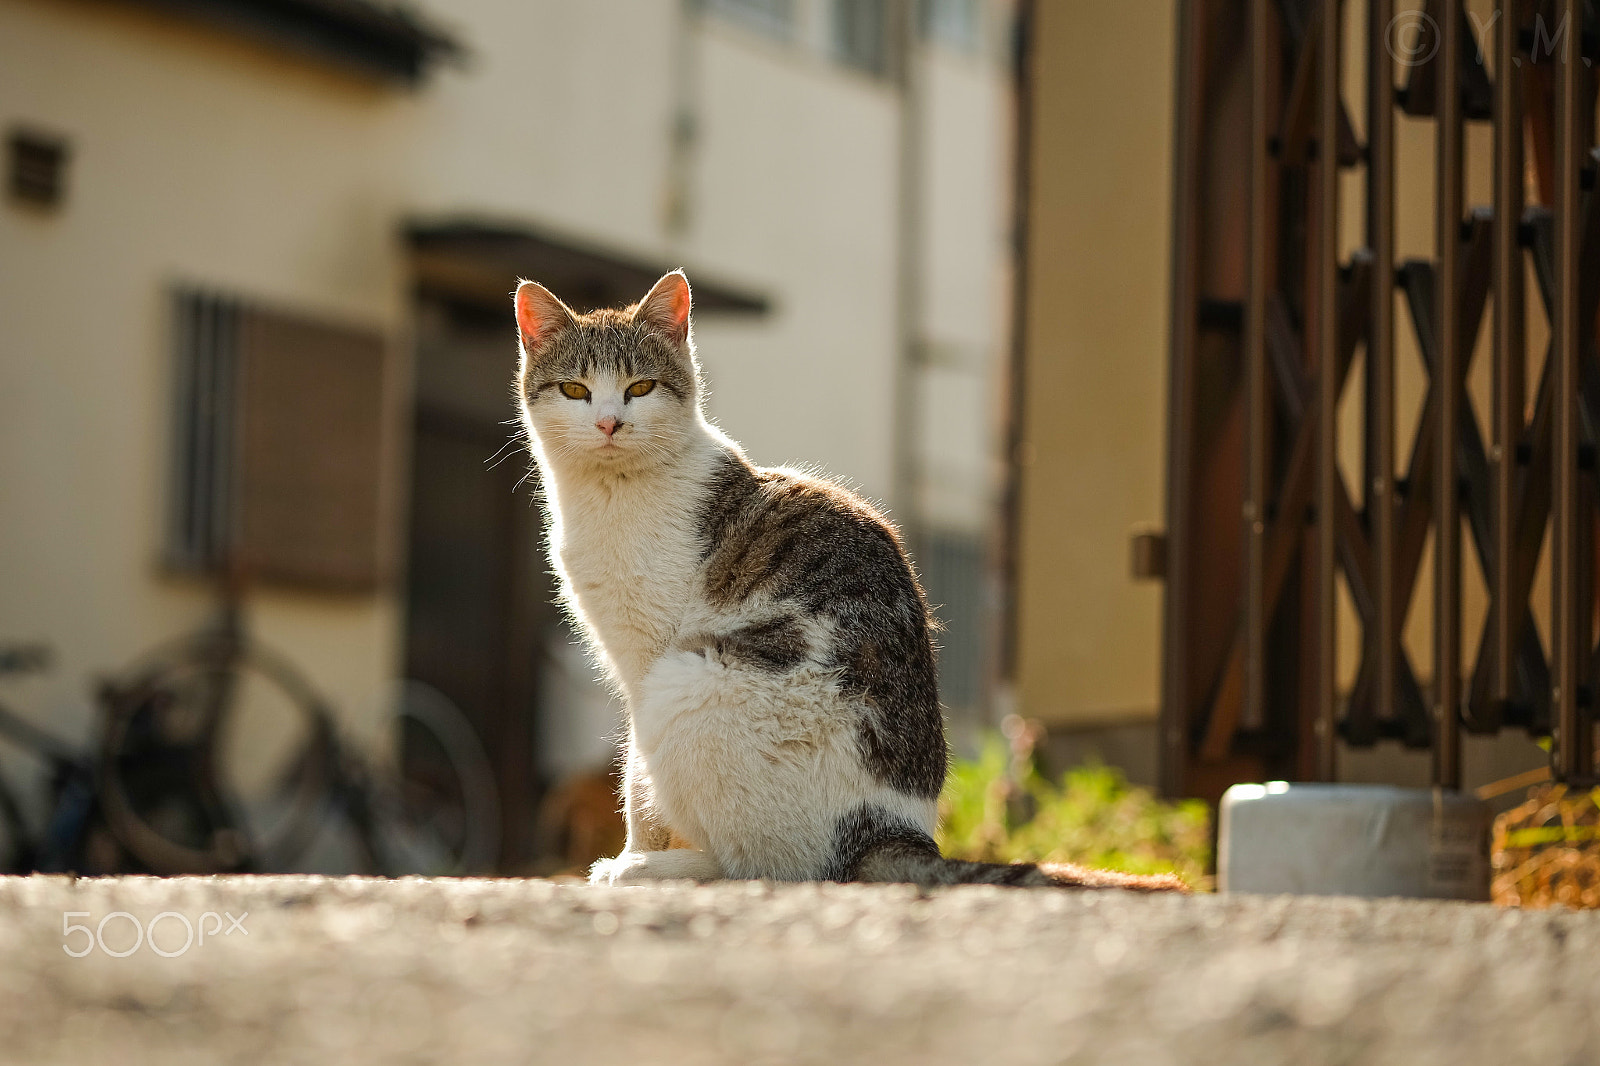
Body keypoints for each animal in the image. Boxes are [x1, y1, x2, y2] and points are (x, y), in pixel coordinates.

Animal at [515, 272, 1190, 889]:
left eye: (641, 387)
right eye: (575, 390)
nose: (608, 423)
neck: (608, 496)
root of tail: (895, 830)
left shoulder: (648, 658)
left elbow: (637, 782)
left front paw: (637, 853)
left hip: (687, 685)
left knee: (775, 868)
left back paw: (657, 869)